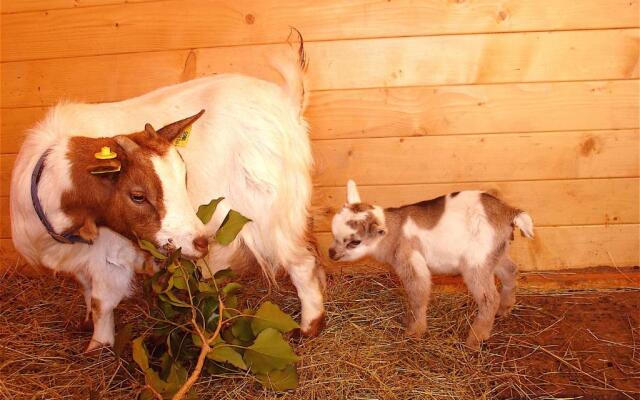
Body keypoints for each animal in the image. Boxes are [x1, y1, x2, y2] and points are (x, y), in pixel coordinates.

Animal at [328, 180, 532, 348]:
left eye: (355, 242)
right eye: (333, 234)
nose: (331, 253)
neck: (394, 231)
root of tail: (508, 212)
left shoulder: (410, 258)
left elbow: (418, 293)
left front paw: (414, 332)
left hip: (476, 261)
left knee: (489, 298)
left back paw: (474, 340)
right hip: (495, 253)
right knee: (510, 270)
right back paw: (504, 309)